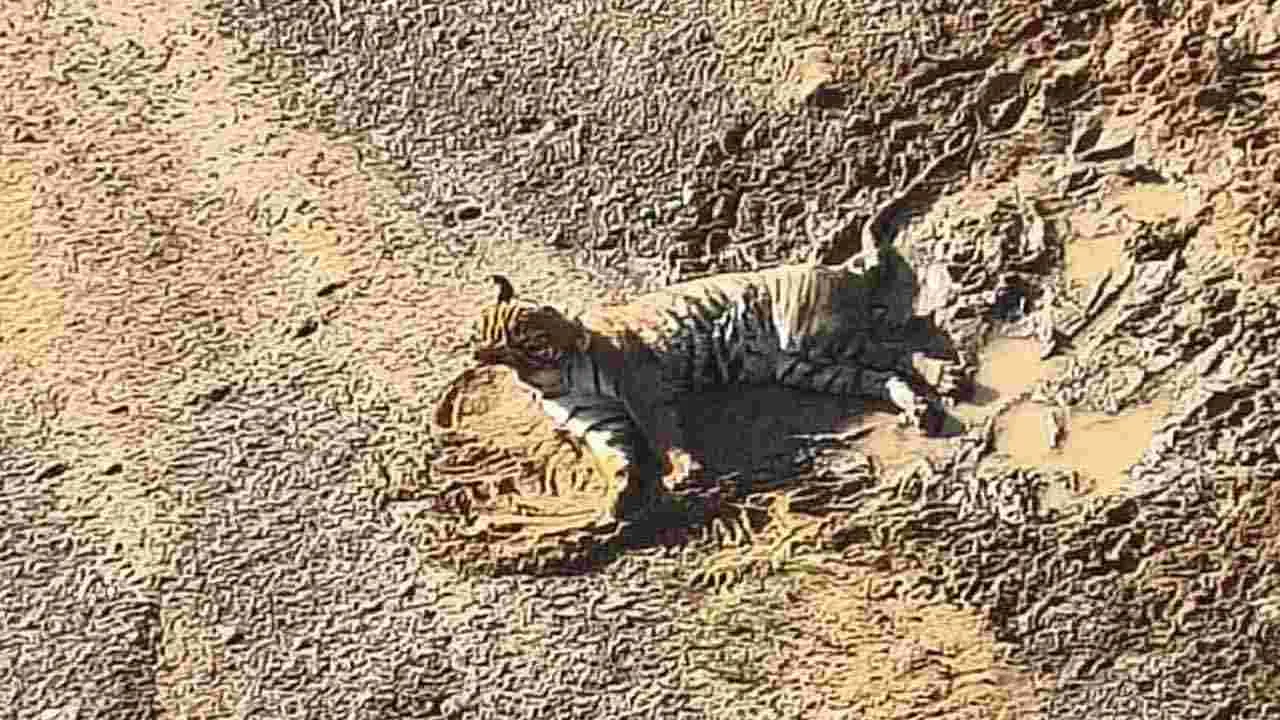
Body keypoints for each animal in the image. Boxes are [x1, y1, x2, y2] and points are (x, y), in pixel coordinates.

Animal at [471, 262, 969, 527]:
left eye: (543, 316)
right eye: (533, 336)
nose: (577, 331)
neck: (555, 378)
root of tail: (832, 266)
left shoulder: (639, 382)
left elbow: (662, 435)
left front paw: (682, 472)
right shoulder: (599, 423)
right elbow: (618, 460)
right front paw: (616, 501)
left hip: (817, 337)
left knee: (901, 352)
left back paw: (944, 377)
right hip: (808, 366)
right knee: (882, 377)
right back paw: (919, 409)